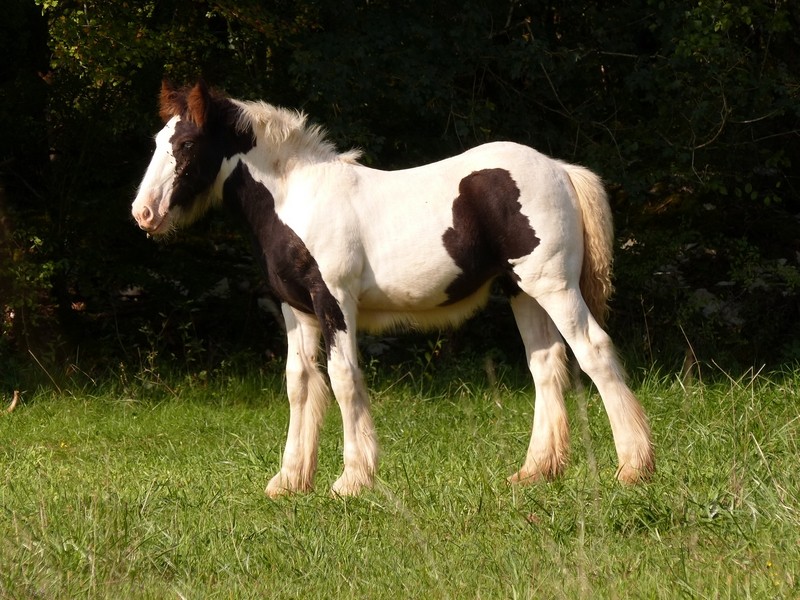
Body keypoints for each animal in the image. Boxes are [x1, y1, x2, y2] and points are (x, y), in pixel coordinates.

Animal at [133, 82, 656, 500]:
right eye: (156, 140)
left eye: (186, 142)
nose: (143, 214)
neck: (296, 197)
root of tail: (560, 168)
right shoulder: (296, 309)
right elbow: (299, 384)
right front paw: (289, 481)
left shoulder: (335, 301)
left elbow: (343, 379)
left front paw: (352, 480)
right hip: (522, 292)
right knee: (546, 366)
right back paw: (535, 472)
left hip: (555, 286)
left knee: (594, 351)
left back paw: (633, 468)